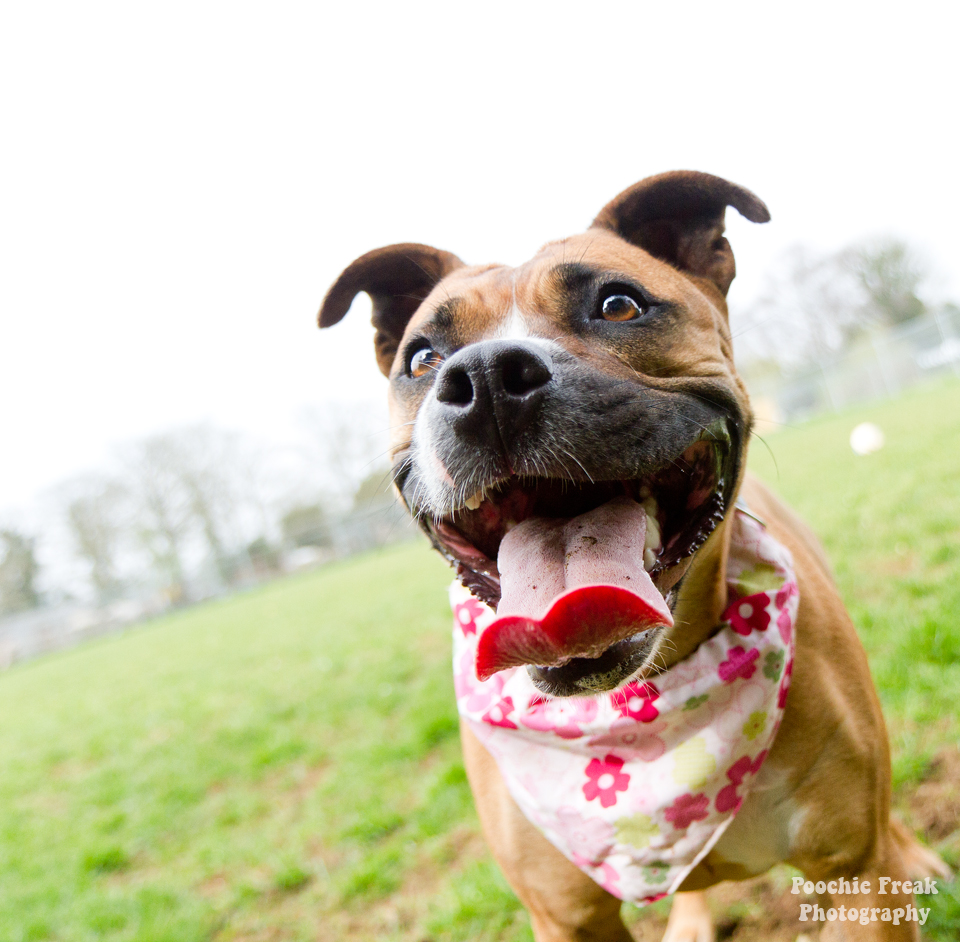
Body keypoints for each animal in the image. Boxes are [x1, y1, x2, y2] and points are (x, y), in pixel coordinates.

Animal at [318, 171, 948, 942]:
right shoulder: (568, 921)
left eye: (619, 304)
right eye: (423, 357)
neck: (646, 715)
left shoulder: (853, 873)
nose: (487, 376)